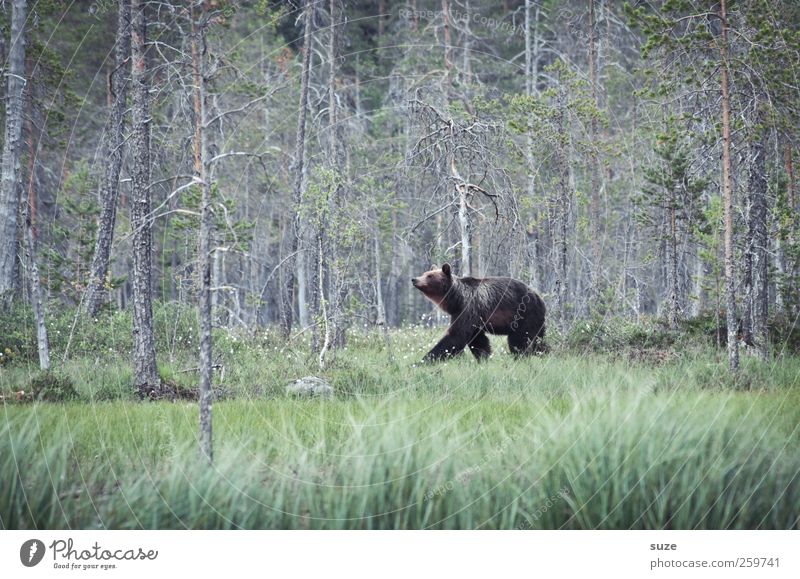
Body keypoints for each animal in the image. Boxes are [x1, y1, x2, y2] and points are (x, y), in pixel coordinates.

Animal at [412, 264, 544, 362]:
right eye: (424, 273)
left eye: (429, 275)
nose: (414, 279)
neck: (456, 299)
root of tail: (539, 297)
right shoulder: (466, 315)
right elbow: (478, 340)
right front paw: (484, 357)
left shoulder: (469, 308)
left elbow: (455, 336)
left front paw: (422, 361)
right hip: (536, 320)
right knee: (539, 340)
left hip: (524, 314)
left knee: (518, 340)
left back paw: (520, 357)